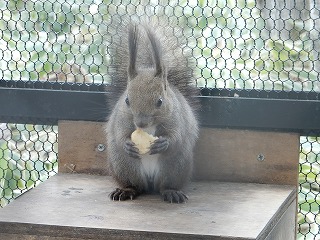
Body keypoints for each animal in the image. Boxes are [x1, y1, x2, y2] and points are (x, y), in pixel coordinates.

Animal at [106, 17, 199, 203]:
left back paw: (171, 192)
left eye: (160, 101)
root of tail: (149, 181)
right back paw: (126, 190)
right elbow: (120, 134)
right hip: (123, 166)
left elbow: (176, 137)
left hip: (175, 166)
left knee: (164, 185)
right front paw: (127, 144)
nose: (141, 123)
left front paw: (164, 143)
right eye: (127, 100)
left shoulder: (176, 118)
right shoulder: (121, 118)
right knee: (136, 185)